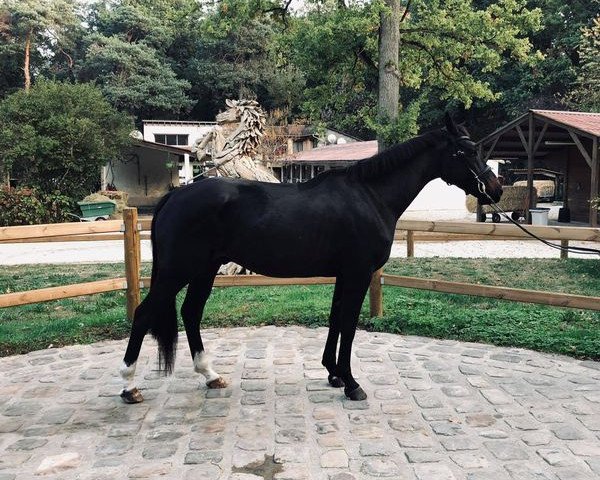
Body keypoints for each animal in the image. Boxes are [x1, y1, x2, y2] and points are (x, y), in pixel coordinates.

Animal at [117, 114, 502, 404]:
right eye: (467, 151)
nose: (495, 190)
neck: (370, 195)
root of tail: (175, 196)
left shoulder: (344, 274)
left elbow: (335, 319)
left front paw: (333, 373)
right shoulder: (359, 273)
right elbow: (348, 323)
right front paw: (351, 383)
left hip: (205, 269)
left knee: (191, 312)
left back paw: (210, 375)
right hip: (178, 270)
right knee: (145, 313)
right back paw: (129, 384)